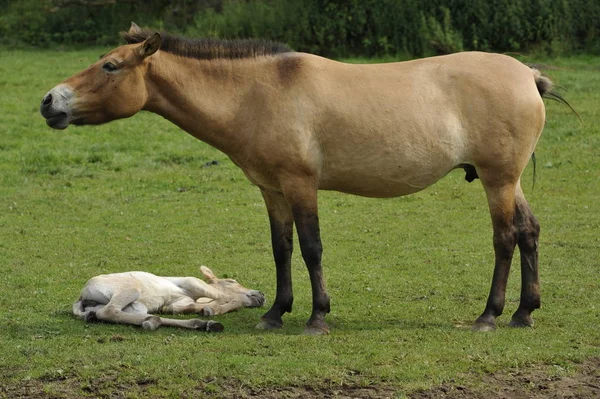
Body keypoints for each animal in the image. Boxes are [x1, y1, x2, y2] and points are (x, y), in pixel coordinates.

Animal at [73, 268, 264, 332]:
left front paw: (207, 310)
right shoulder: (192, 281)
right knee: (109, 311)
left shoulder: (178, 303)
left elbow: (183, 307)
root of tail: (81, 296)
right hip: (130, 290)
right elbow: (226, 297)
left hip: (135, 307)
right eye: (231, 281)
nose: (261, 295)